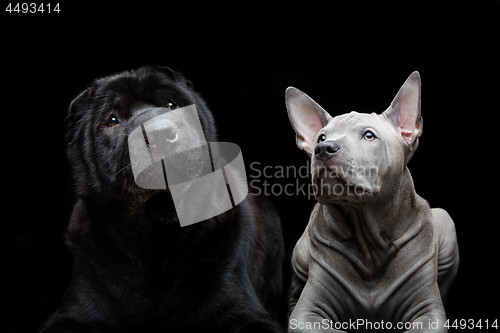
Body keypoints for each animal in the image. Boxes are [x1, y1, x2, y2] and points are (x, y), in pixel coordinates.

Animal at [286, 72, 458, 332]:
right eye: (321, 137)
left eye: (369, 135)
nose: (323, 148)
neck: (369, 244)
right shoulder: (307, 315)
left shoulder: (428, 313)